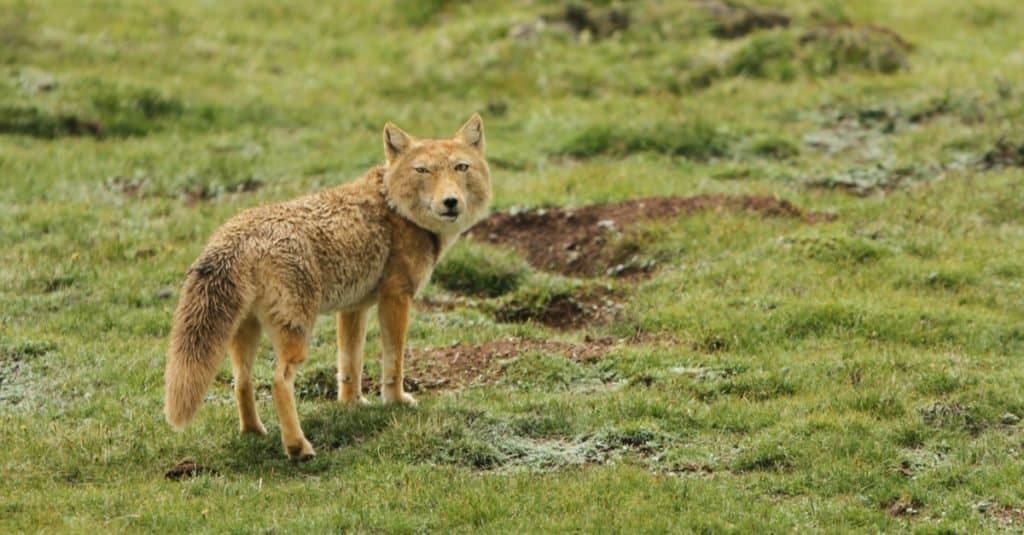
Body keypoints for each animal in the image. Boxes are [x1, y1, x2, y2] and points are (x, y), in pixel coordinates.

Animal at [164, 114, 491, 455]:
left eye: (461, 167)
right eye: (423, 170)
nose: (451, 202)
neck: (394, 205)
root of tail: (236, 234)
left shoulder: (354, 308)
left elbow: (350, 365)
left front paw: (352, 404)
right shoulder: (396, 297)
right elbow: (394, 362)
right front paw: (396, 401)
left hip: (245, 335)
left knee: (242, 382)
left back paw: (254, 432)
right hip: (297, 337)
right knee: (278, 382)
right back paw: (298, 447)